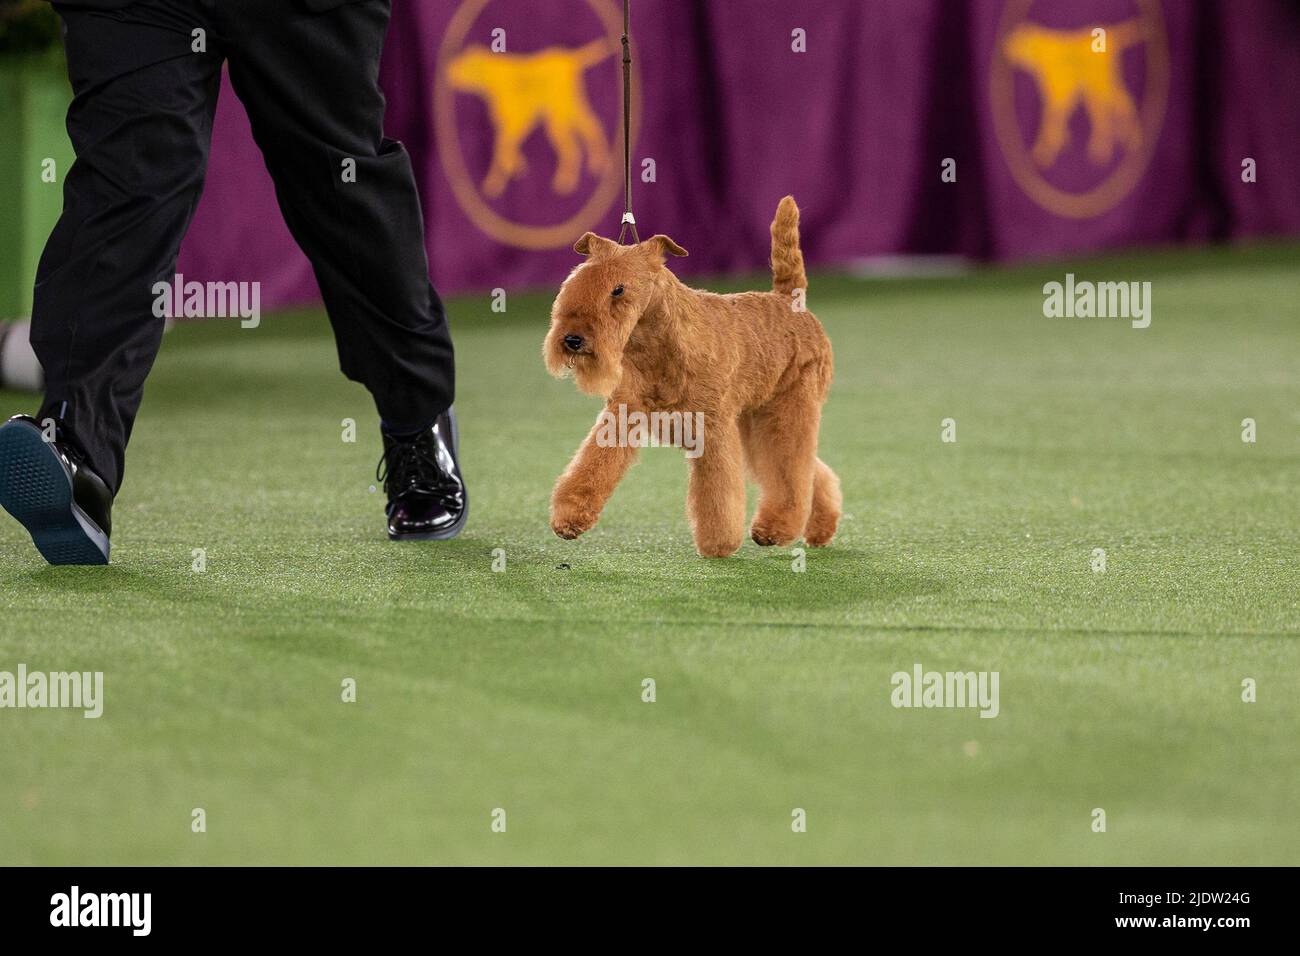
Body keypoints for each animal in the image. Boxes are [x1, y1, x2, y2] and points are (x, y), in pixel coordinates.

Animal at [540, 196, 837, 554]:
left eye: (618, 289)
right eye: (574, 281)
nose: (571, 339)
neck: (655, 343)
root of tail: (789, 299)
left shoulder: (711, 427)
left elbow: (718, 493)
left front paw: (718, 543)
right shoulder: (621, 416)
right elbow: (591, 466)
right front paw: (569, 519)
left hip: (785, 412)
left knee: (793, 471)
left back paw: (776, 528)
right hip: (754, 423)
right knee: (813, 472)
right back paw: (819, 530)